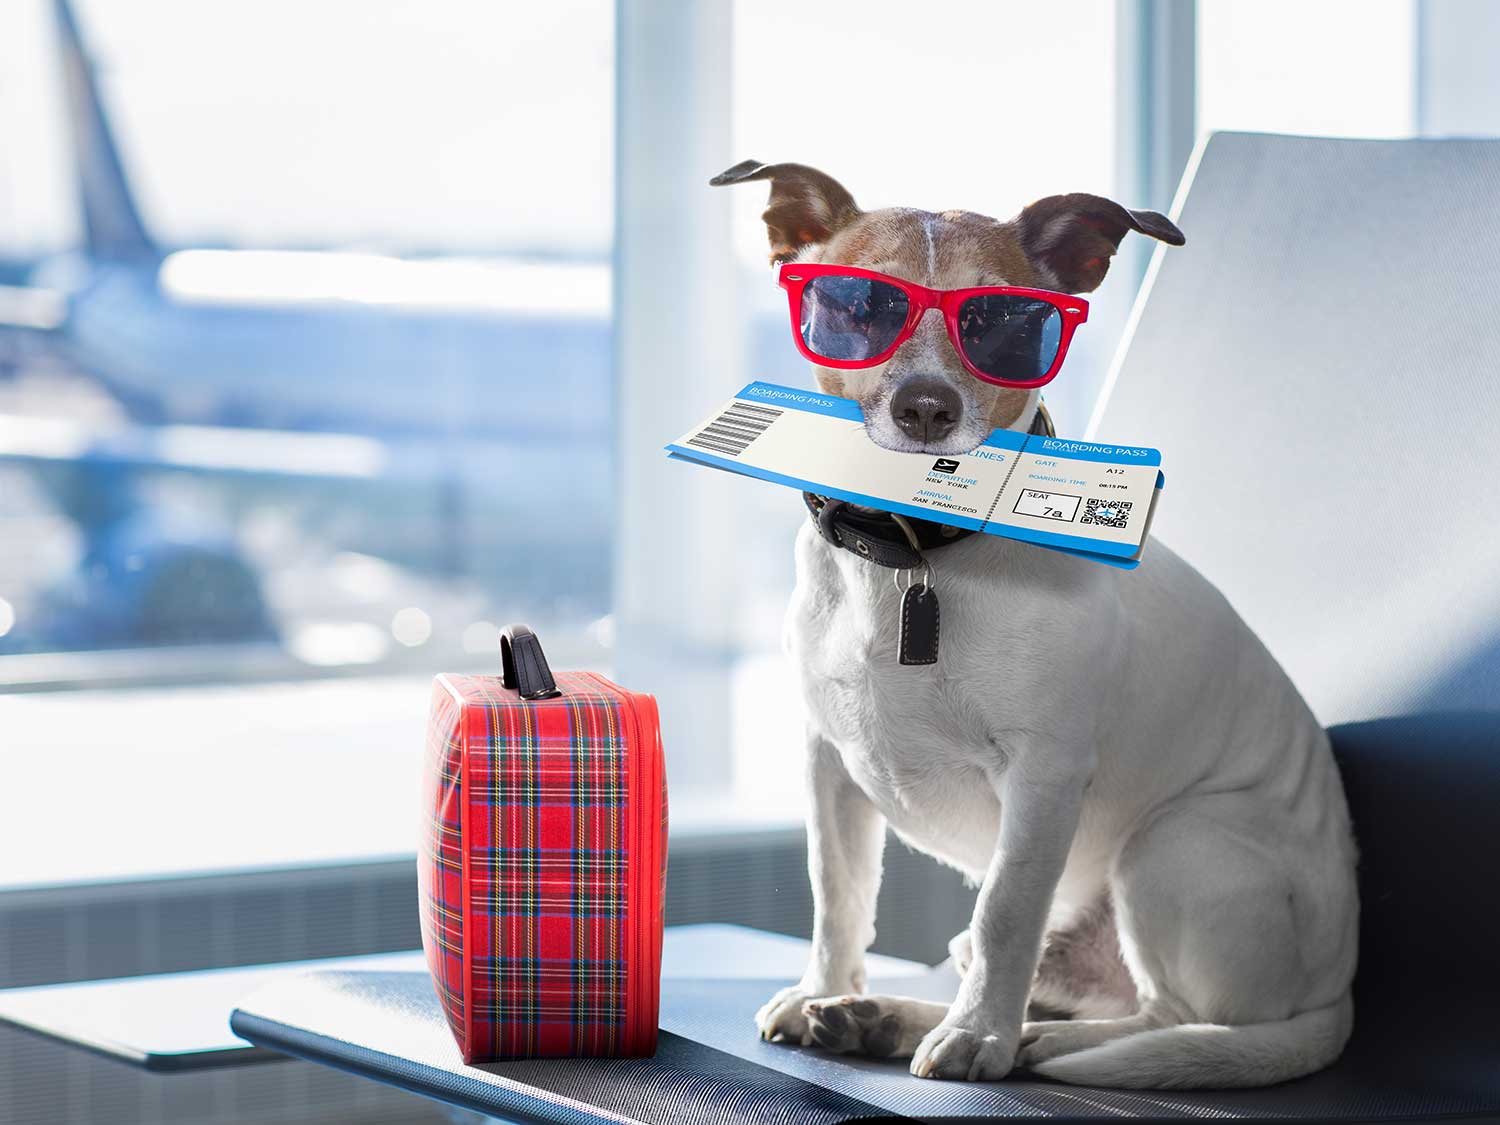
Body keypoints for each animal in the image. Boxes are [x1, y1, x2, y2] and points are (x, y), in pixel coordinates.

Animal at [714, 162, 1362, 1086]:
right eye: (859, 304)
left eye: (1004, 321)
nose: (925, 406)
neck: (914, 555)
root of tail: (1337, 990)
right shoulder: (826, 764)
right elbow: (837, 896)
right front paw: (822, 990)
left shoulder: (1043, 777)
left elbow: (1006, 912)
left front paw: (979, 1037)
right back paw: (883, 1016)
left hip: (1173, 842)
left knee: (1163, 1016)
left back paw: (1029, 1042)